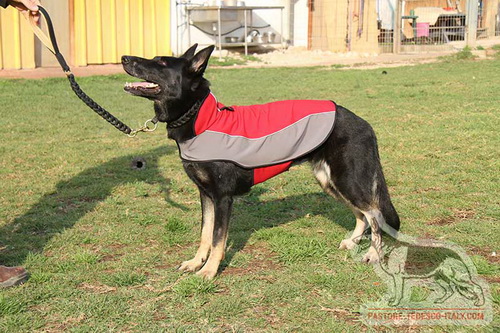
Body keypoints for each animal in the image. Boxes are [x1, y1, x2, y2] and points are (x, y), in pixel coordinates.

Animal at [122, 43, 402, 278]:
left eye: (161, 62)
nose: (124, 58)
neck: (201, 117)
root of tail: (365, 124)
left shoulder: (222, 198)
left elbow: (217, 239)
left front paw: (209, 271)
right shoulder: (206, 195)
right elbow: (204, 234)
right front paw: (196, 262)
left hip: (348, 180)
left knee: (375, 215)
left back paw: (373, 254)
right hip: (330, 182)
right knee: (362, 214)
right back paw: (353, 242)